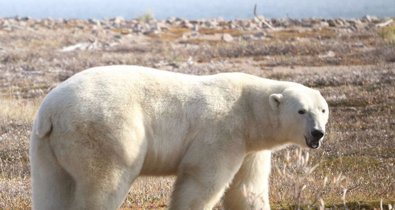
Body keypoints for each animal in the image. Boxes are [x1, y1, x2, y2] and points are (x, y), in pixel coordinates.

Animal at [29, 65, 330, 209]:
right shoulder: (222, 132)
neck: (248, 109)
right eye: (301, 110)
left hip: (46, 146)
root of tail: (51, 111)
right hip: (105, 132)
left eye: (323, 109)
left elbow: (247, 190)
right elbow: (202, 182)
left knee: (52, 188)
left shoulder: (251, 147)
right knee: (104, 183)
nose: (318, 132)